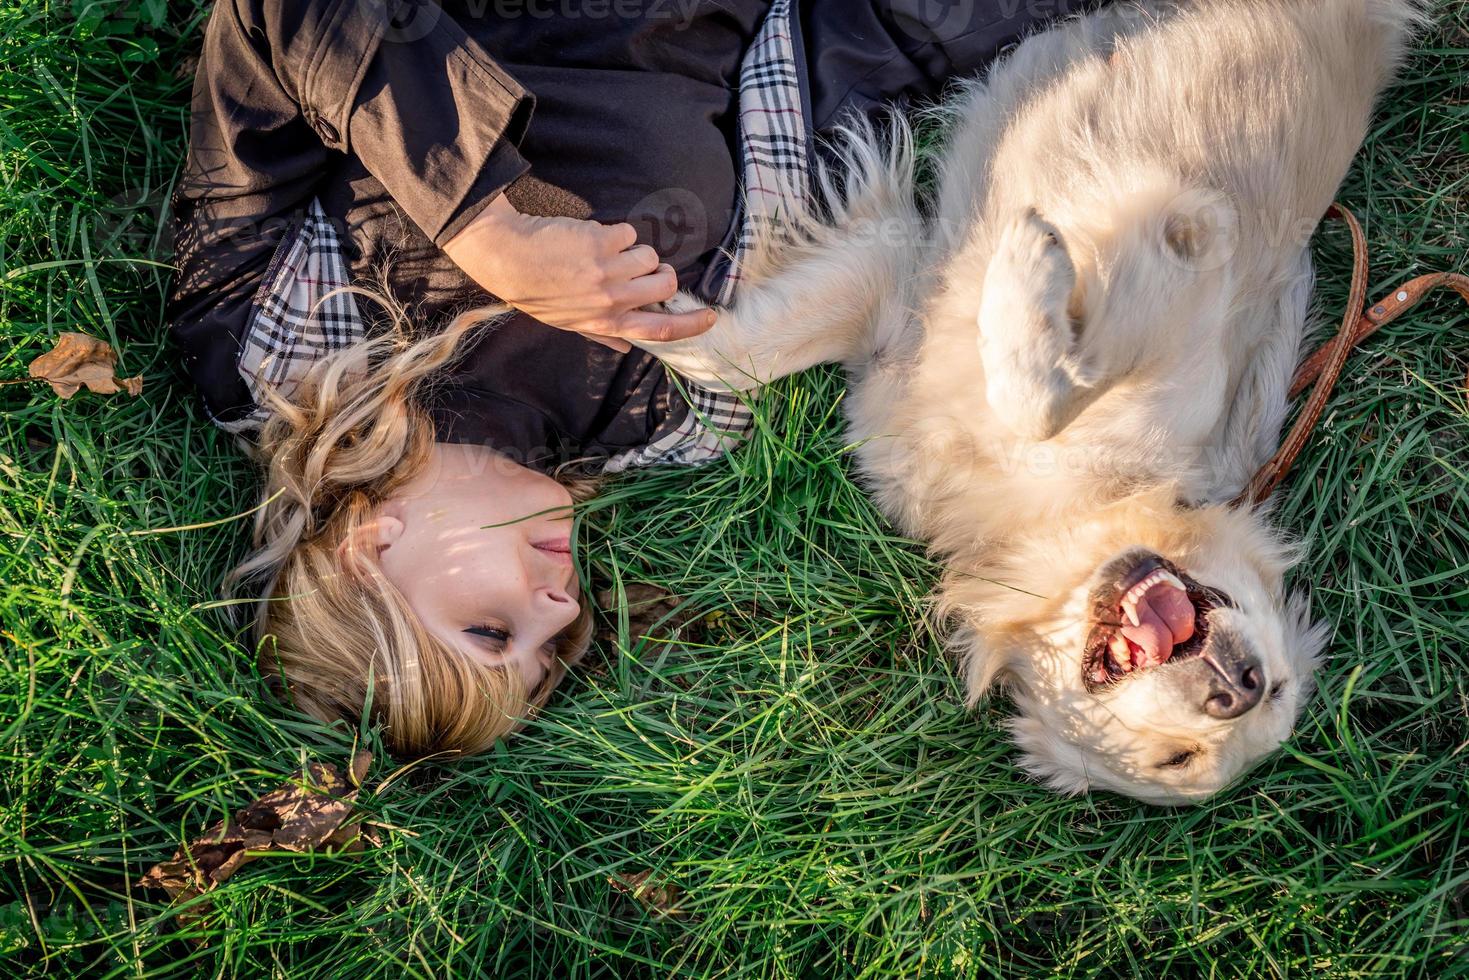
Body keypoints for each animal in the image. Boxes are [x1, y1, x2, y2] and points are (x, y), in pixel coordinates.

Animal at [646, 0, 1421, 799]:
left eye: (1177, 760)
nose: (1237, 687)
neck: (1070, 505)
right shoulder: (899, 308)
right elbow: (735, 360)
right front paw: (648, 313)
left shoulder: (1195, 248)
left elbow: (1037, 395)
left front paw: (1025, 263)